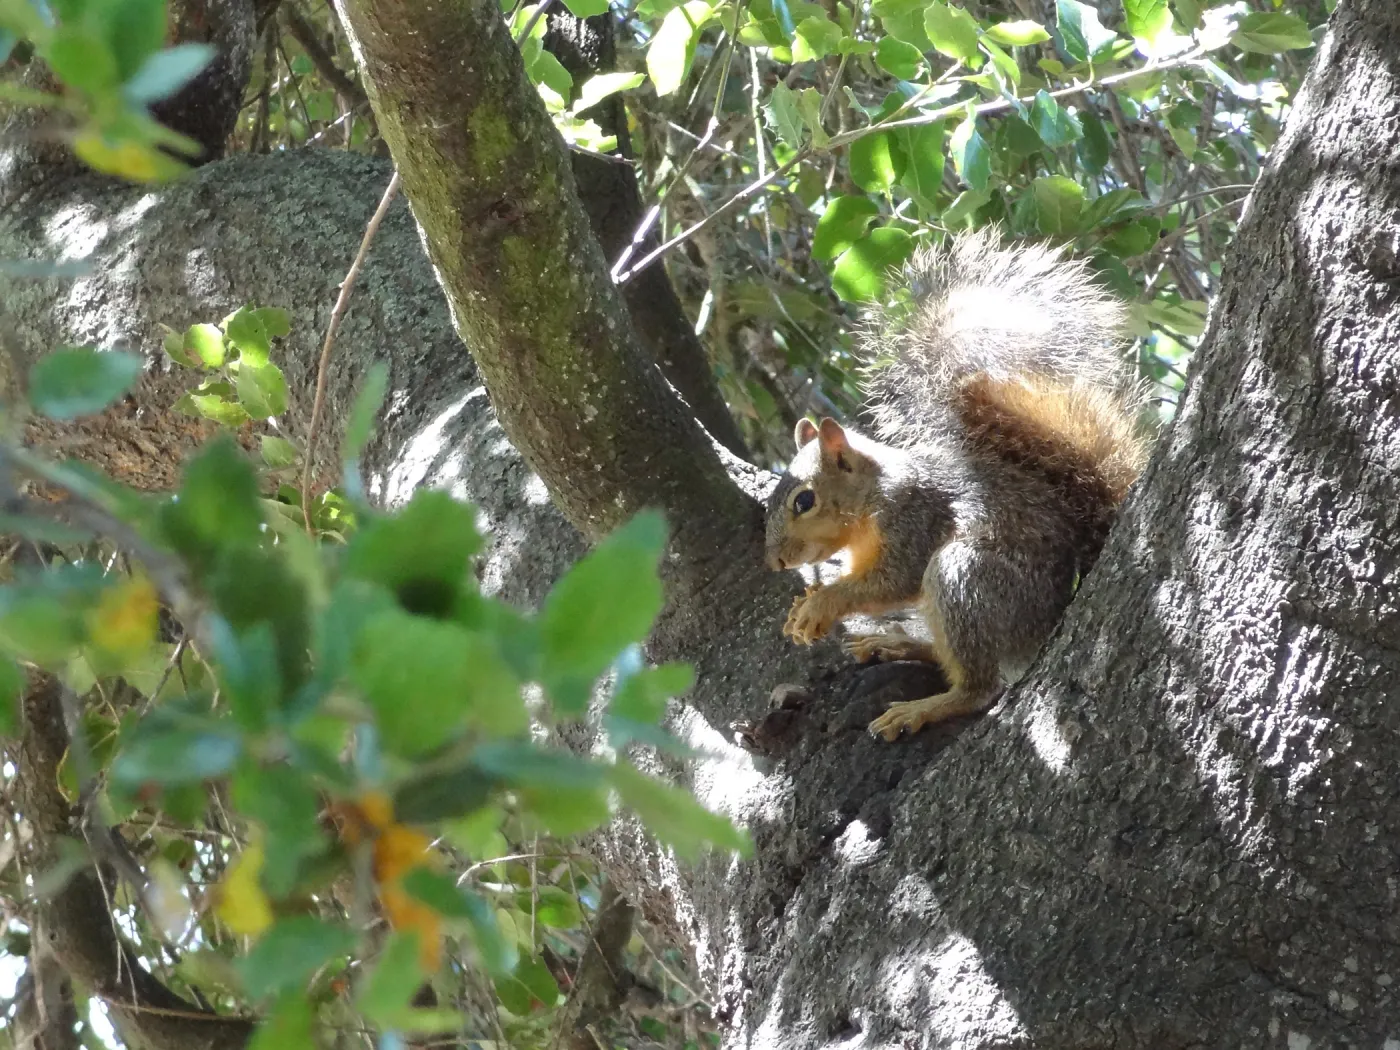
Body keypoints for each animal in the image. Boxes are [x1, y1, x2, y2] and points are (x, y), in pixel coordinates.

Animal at [764, 227, 1149, 741]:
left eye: (804, 500)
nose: (775, 561)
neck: (872, 501)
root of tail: (1048, 623)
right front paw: (805, 606)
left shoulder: (915, 517)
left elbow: (894, 581)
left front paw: (821, 603)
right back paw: (896, 645)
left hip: (966, 579)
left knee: (980, 686)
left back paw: (924, 707)